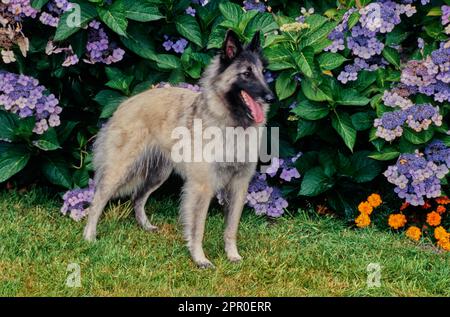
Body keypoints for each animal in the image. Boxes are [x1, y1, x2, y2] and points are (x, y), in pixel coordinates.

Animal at [83, 29, 274, 266]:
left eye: (263, 72)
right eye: (246, 74)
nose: (270, 97)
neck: (231, 123)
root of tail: (125, 103)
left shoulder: (239, 185)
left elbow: (231, 228)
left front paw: (232, 255)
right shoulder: (202, 187)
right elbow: (198, 228)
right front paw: (200, 258)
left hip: (158, 174)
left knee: (138, 197)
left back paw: (145, 226)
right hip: (121, 171)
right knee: (98, 201)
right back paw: (89, 237)